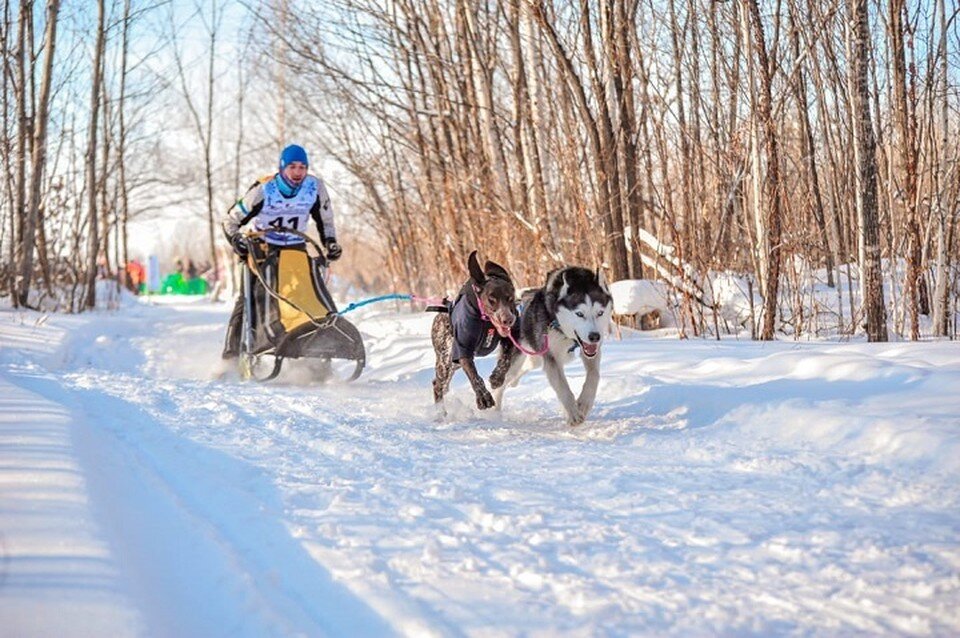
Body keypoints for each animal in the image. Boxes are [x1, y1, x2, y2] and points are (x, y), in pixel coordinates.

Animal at [430, 251, 512, 416]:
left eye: (510, 298)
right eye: (492, 299)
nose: (508, 320)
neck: (485, 321)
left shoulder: (510, 339)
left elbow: (505, 360)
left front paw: (497, 377)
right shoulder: (463, 351)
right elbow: (474, 376)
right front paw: (483, 397)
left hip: (452, 364)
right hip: (446, 362)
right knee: (438, 385)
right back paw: (440, 414)